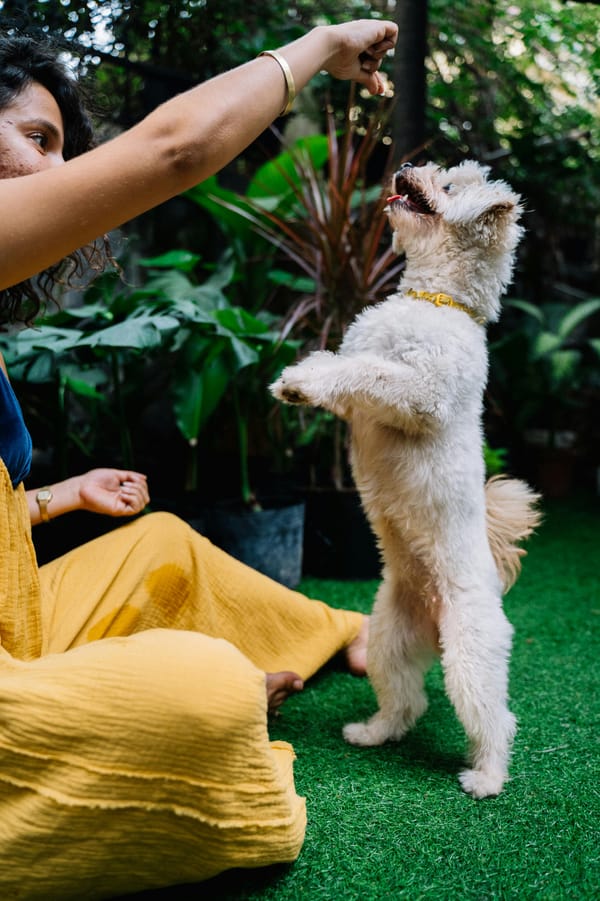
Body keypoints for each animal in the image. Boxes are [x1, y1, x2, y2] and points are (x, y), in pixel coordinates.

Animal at [272, 160, 540, 796]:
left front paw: (305, 381)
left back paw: (486, 778)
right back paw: (373, 732)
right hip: (389, 639)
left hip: (470, 656)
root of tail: (433, 612)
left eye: (448, 186)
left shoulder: (420, 392)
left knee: (496, 719)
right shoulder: (358, 386)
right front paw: (297, 382)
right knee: (406, 702)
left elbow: (368, 370)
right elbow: (342, 365)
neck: (435, 298)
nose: (403, 167)